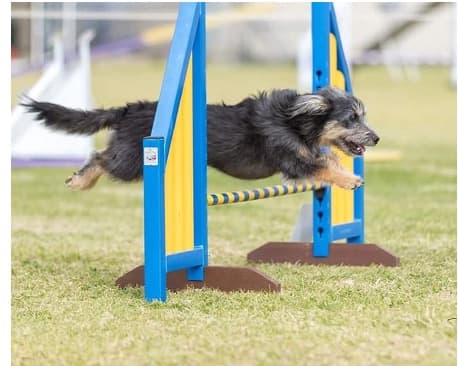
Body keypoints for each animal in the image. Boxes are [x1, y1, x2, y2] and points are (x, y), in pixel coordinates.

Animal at [21, 85, 380, 189]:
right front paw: (350, 180)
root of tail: (128, 109)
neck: (295, 121)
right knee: (99, 158)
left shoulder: (301, 160)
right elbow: (324, 166)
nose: (376, 138)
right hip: (132, 161)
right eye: (352, 118)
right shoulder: (293, 160)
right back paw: (79, 181)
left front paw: (346, 174)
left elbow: (328, 159)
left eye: (363, 115)